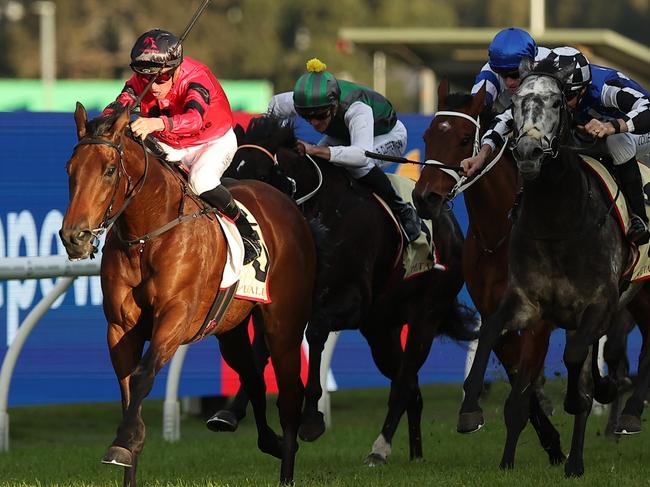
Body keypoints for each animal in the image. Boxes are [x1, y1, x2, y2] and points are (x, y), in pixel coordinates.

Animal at [58, 101, 316, 486]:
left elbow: (143, 375)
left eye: (109, 170)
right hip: (230, 329)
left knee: (288, 394)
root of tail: (287, 203)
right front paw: (128, 451)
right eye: (69, 169)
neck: (148, 234)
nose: (74, 237)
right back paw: (260, 437)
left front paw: (123, 442)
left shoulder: (176, 316)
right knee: (253, 378)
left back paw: (286, 465)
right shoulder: (120, 327)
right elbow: (127, 388)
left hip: (283, 324)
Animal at [456, 59, 636, 478]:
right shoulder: (527, 302)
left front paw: (581, 400)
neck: (559, 222)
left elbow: (574, 361)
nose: (528, 151)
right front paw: (470, 410)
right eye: (516, 103)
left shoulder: (599, 303)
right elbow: (490, 333)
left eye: (556, 102)